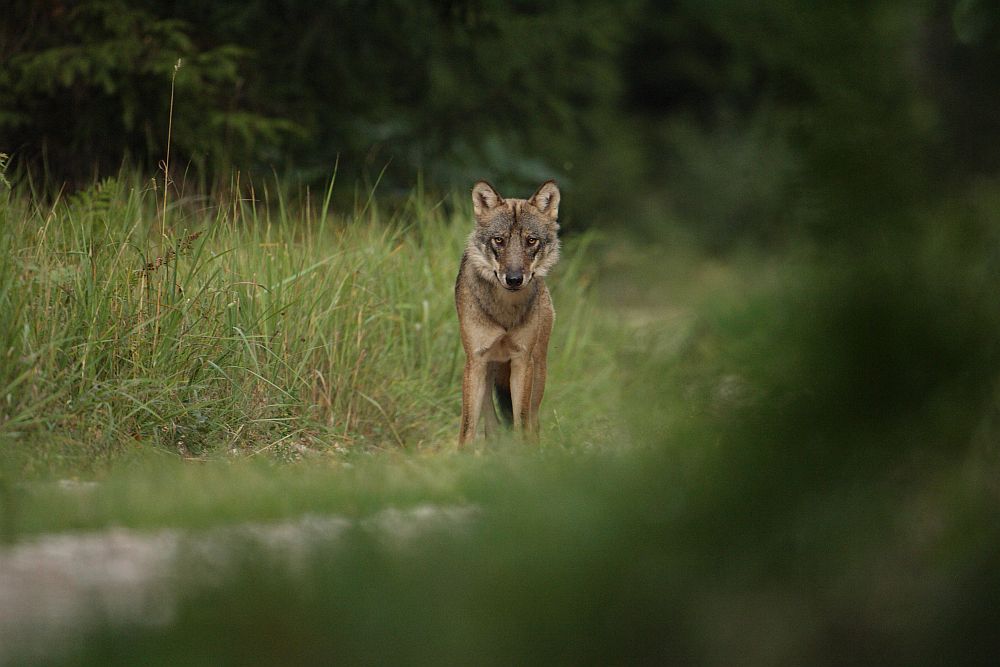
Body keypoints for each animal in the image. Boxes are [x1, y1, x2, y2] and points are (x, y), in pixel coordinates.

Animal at [456, 180, 560, 446]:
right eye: (499, 240)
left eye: (531, 240)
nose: (514, 279)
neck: (504, 309)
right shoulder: (475, 361)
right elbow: (468, 427)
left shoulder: (523, 360)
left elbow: (521, 421)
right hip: (487, 372)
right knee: (490, 423)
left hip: (538, 371)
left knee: (532, 420)